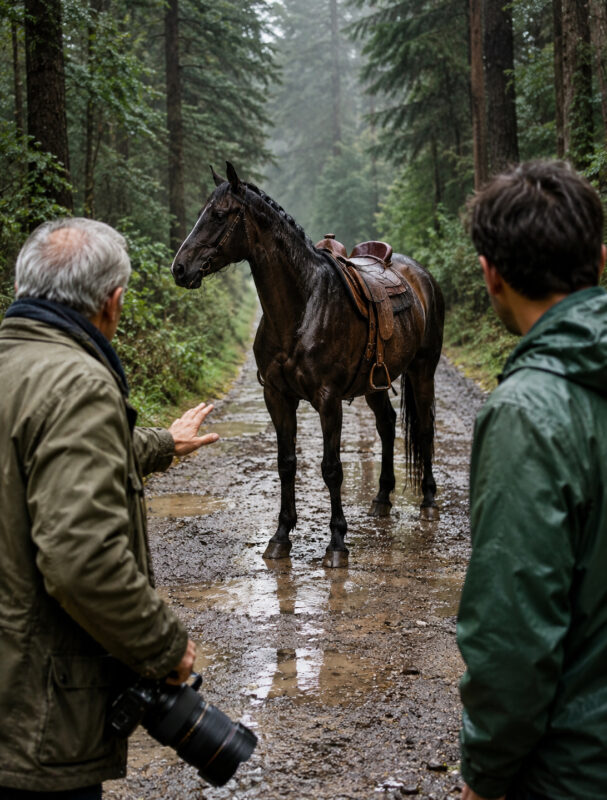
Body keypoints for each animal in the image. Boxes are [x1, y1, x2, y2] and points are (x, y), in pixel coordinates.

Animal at [171, 162, 444, 568]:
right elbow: (286, 463)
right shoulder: (277, 397)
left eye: (219, 215)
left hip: (423, 369)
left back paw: (427, 498)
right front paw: (280, 536)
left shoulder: (328, 400)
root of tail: (421, 276)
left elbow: (331, 469)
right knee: (387, 424)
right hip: (375, 382)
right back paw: (381, 498)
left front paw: (337, 542)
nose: (180, 268)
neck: (301, 308)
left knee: (424, 428)